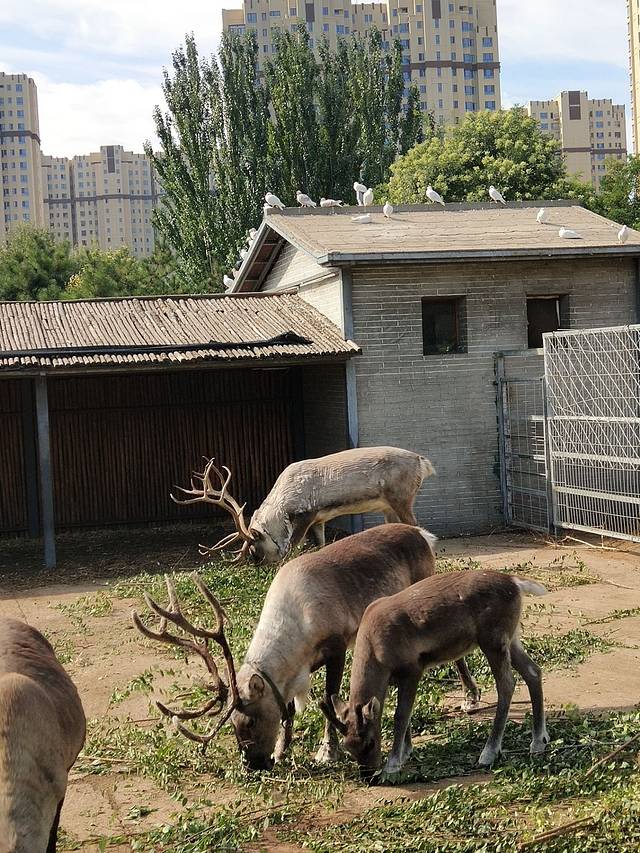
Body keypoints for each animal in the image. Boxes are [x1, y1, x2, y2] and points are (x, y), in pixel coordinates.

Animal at [133, 524, 481, 771]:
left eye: (251, 720)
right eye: (231, 723)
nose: (252, 766)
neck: (296, 620)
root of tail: (422, 535)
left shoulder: (336, 646)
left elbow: (329, 698)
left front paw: (327, 751)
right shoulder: (293, 673)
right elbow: (288, 710)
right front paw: (282, 751)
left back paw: (470, 697)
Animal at [171, 447, 435, 564]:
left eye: (255, 548)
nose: (258, 565)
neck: (282, 504)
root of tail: (423, 462)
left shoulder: (306, 514)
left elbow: (292, 546)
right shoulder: (319, 520)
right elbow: (320, 544)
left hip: (401, 499)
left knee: (417, 525)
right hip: (388, 508)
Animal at [320, 570, 550, 779]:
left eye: (370, 742)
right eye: (348, 747)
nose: (368, 777)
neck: (376, 650)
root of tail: (515, 582)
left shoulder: (412, 669)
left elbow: (401, 714)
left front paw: (393, 763)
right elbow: (404, 713)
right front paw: (405, 753)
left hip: (493, 641)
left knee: (506, 685)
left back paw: (489, 753)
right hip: (511, 639)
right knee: (533, 671)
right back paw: (538, 741)